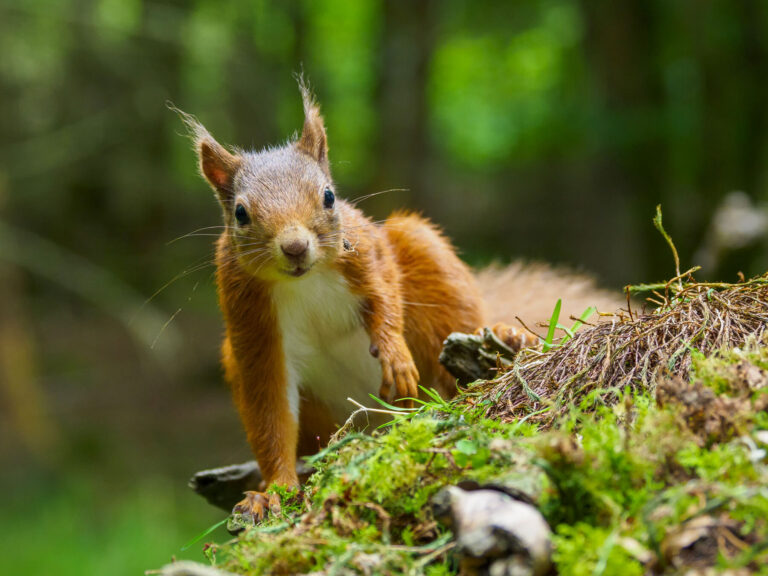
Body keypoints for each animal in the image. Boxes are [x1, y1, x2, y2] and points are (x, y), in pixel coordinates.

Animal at [181, 83, 619, 523]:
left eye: (329, 197)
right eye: (241, 213)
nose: (294, 247)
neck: (306, 282)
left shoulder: (366, 251)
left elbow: (386, 294)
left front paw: (394, 353)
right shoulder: (251, 322)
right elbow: (270, 411)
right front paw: (274, 492)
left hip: (425, 255)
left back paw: (505, 338)